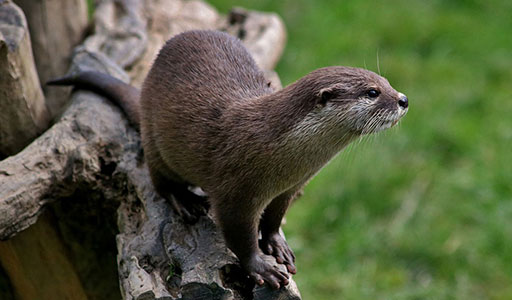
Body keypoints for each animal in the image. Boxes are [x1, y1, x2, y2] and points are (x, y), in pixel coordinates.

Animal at [48, 29, 408, 288]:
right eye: (372, 92)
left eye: (387, 82)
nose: (403, 99)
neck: (281, 155)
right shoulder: (236, 190)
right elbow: (239, 234)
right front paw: (260, 267)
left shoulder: (289, 188)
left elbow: (274, 218)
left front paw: (276, 244)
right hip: (155, 140)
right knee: (159, 181)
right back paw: (184, 202)